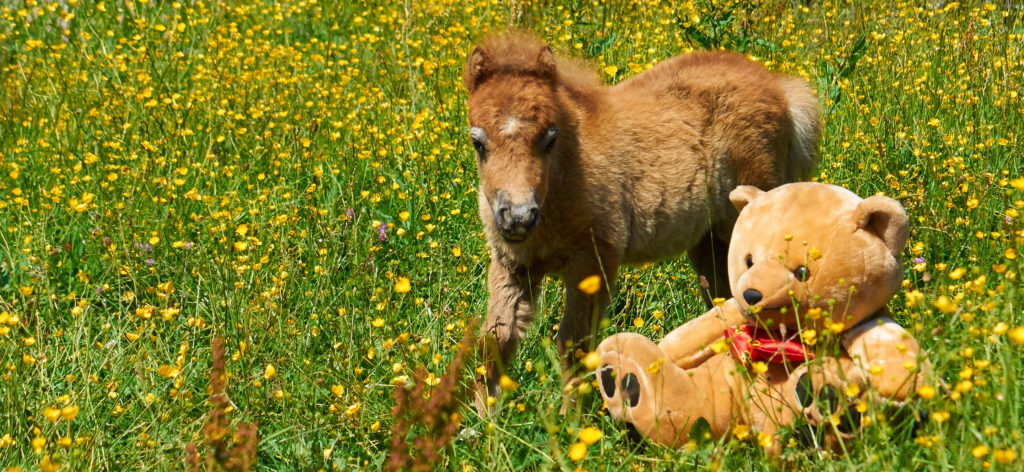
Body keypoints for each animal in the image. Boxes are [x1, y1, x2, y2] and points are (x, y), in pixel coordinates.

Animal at [466, 31, 823, 409]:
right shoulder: (512, 264)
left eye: (550, 138)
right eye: (478, 143)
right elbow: (495, 339)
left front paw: (570, 418)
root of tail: (780, 87)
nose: (519, 217)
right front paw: (482, 416)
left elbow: (573, 343)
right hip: (710, 242)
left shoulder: (593, 261)